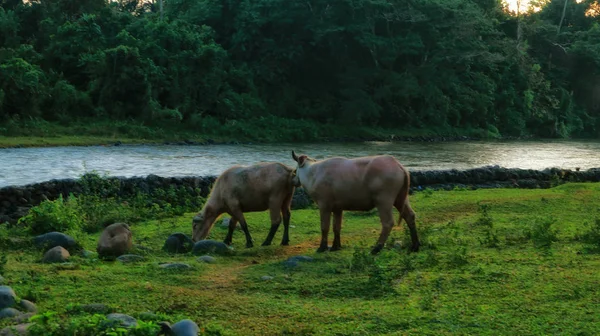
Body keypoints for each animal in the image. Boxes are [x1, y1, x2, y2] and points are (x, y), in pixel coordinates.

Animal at [292, 150, 420, 255]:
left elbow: (325, 227)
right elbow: (336, 227)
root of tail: (398, 165)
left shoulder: (324, 205)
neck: (313, 174)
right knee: (410, 216)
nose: (293, 180)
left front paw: (322, 247)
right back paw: (415, 245)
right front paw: (335, 246)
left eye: (294, 170)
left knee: (388, 223)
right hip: (400, 199)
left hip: (384, 200)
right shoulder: (338, 208)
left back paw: (376, 248)